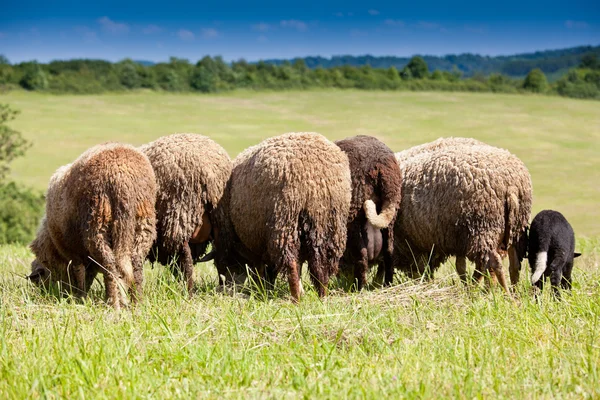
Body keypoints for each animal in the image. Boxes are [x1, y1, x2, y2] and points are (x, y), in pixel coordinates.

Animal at [28, 143, 157, 310]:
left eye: (41, 278)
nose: (47, 293)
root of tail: (121, 179)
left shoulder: (73, 252)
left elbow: (80, 274)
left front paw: (80, 297)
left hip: (97, 222)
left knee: (110, 266)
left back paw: (113, 304)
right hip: (143, 224)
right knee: (135, 265)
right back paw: (137, 303)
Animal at [141, 134, 232, 294]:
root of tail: (207, 172)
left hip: (178, 214)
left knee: (186, 260)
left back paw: (187, 292)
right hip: (219, 219)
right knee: (221, 257)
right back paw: (222, 287)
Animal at [213, 133, 352, 302]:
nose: (226, 286)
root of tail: (313, 179)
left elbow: (262, 270)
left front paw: (262, 289)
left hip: (285, 219)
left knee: (291, 263)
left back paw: (296, 299)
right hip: (328, 223)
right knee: (321, 265)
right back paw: (321, 296)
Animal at [336, 135, 400, 290]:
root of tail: (381, 163)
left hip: (353, 215)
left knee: (362, 255)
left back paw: (358, 287)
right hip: (392, 214)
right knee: (389, 252)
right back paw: (387, 284)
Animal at [394, 137, 528, 290]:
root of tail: (511, 186)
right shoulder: (457, 239)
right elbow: (461, 266)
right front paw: (467, 286)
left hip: (484, 227)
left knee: (494, 262)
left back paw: (502, 292)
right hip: (514, 228)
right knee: (513, 263)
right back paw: (511, 290)